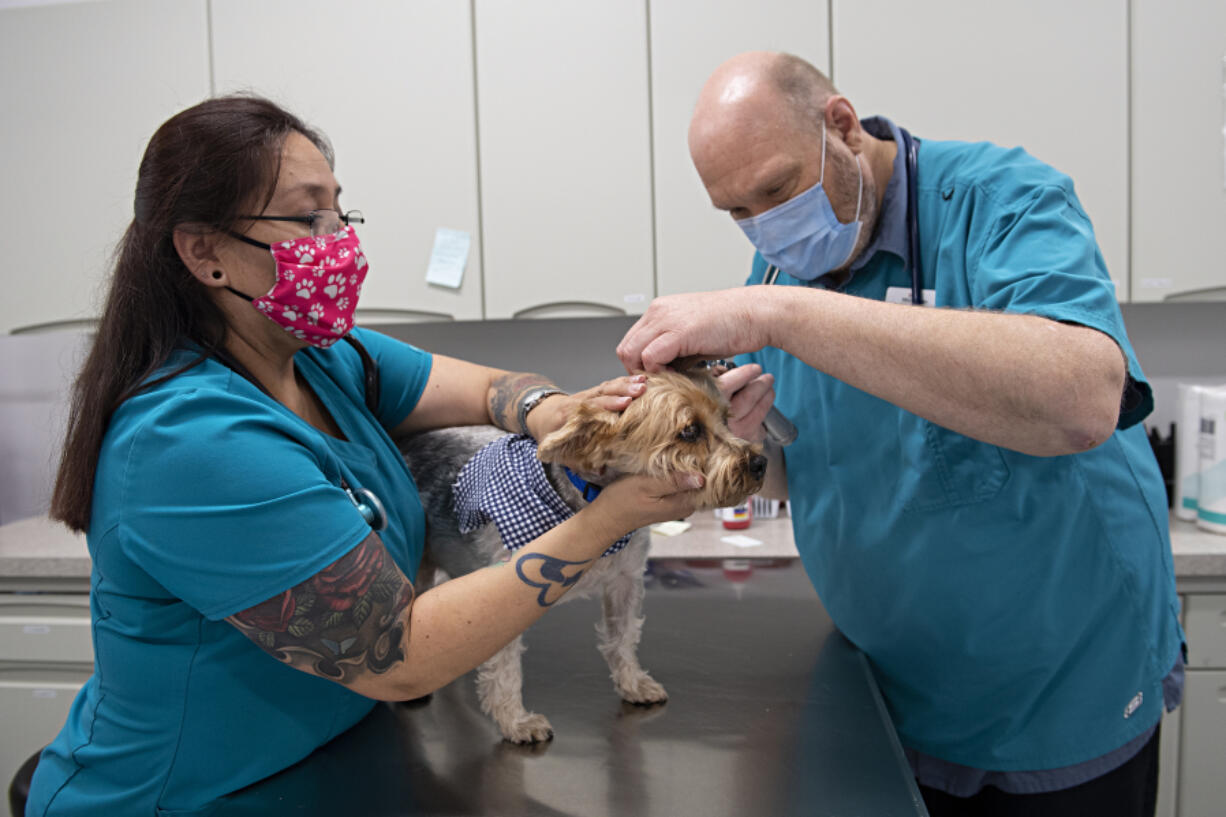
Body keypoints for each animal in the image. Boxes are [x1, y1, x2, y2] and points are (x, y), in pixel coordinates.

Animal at [402, 368, 765, 736]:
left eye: (726, 418)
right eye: (690, 431)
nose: (760, 462)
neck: (585, 502)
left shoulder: (625, 580)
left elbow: (623, 637)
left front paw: (633, 684)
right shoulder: (502, 598)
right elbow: (505, 670)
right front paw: (516, 722)